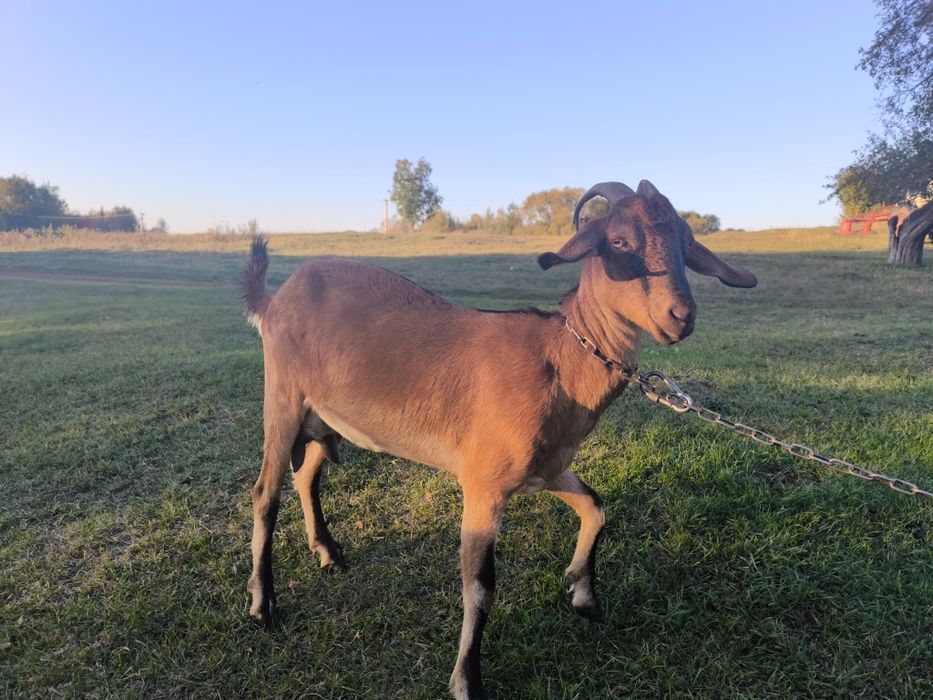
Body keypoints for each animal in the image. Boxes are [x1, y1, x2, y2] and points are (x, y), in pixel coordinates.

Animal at [241, 180, 757, 699]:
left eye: (685, 242)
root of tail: (274, 299)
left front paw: (583, 594)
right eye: (619, 241)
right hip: (283, 401)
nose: (681, 316)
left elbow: (595, 506)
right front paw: (467, 680)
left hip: (323, 420)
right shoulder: (483, 484)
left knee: (306, 475)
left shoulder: (547, 468)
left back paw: (327, 552)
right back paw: (263, 605)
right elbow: (481, 587)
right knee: (265, 493)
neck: (557, 363)